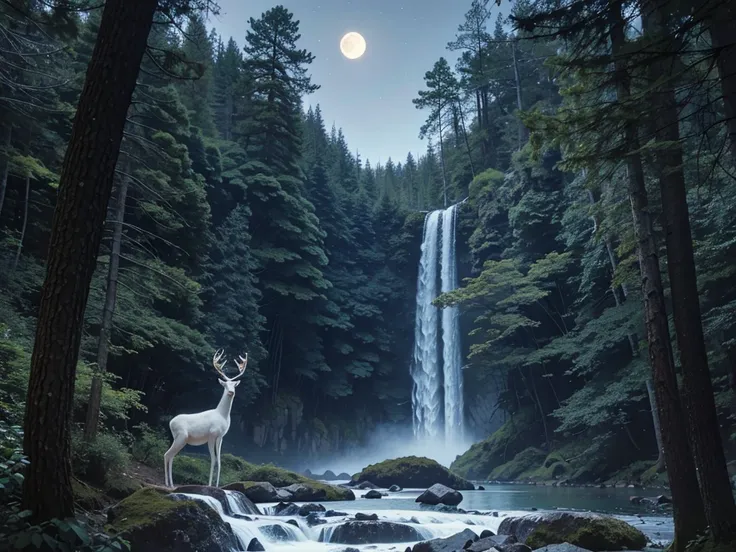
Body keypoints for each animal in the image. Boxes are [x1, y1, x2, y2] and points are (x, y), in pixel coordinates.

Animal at [163, 350, 249, 488]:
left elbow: (219, 461)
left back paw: (171, 484)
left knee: (170, 455)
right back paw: (167, 483)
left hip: (179, 438)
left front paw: (217, 485)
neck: (222, 415)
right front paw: (209, 485)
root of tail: (171, 422)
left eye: (234, 385)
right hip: (181, 436)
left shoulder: (221, 436)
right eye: (225, 385)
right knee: (167, 454)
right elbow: (213, 459)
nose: (231, 392)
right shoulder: (212, 434)